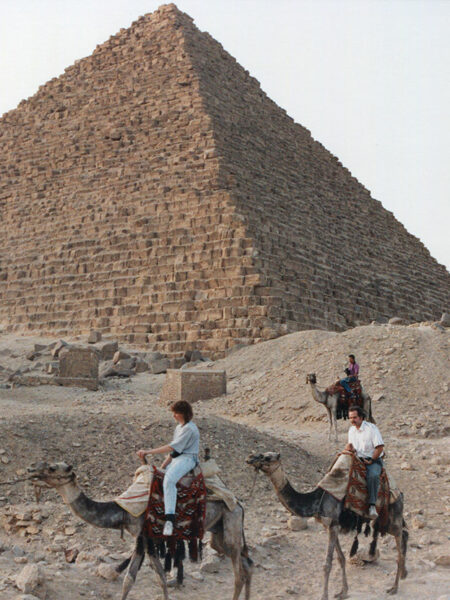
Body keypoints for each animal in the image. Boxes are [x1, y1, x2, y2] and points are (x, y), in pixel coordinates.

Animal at [27, 464, 253, 600]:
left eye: (52, 468)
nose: (31, 470)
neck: (124, 510)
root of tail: (239, 504)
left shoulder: (145, 537)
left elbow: (153, 577)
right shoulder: (141, 538)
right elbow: (133, 579)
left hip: (231, 522)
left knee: (239, 574)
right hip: (219, 530)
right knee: (246, 564)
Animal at [246, 452, 408, 596]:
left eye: (267, 457)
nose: (249, 458)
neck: (317, 500)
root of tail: (399, 491)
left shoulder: (333, 525)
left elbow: (327, 564)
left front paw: (325, 595)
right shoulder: (329, 526)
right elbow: (341, 558)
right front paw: (343, 592)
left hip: (393, 514)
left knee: (400, 543)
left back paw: (394, 588)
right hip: (382, 521)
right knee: (405, 533)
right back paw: (403, 574)